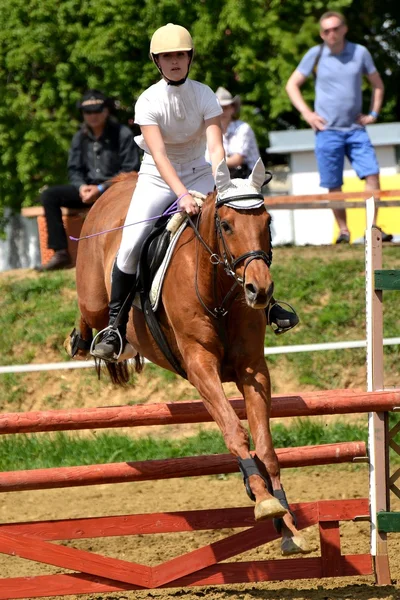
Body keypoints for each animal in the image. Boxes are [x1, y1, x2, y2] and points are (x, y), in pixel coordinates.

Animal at [66, 157, 310, 556]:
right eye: (226, 225)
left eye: (267, 222)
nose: (259, 290)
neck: (219, 290)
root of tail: (118, 185)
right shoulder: (200, 368)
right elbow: (234, 431)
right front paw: (264, 500)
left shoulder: (253, 370)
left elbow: (265, 445)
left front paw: (288, 525)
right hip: (94, 297)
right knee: (93, 314)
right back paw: (93, 340)